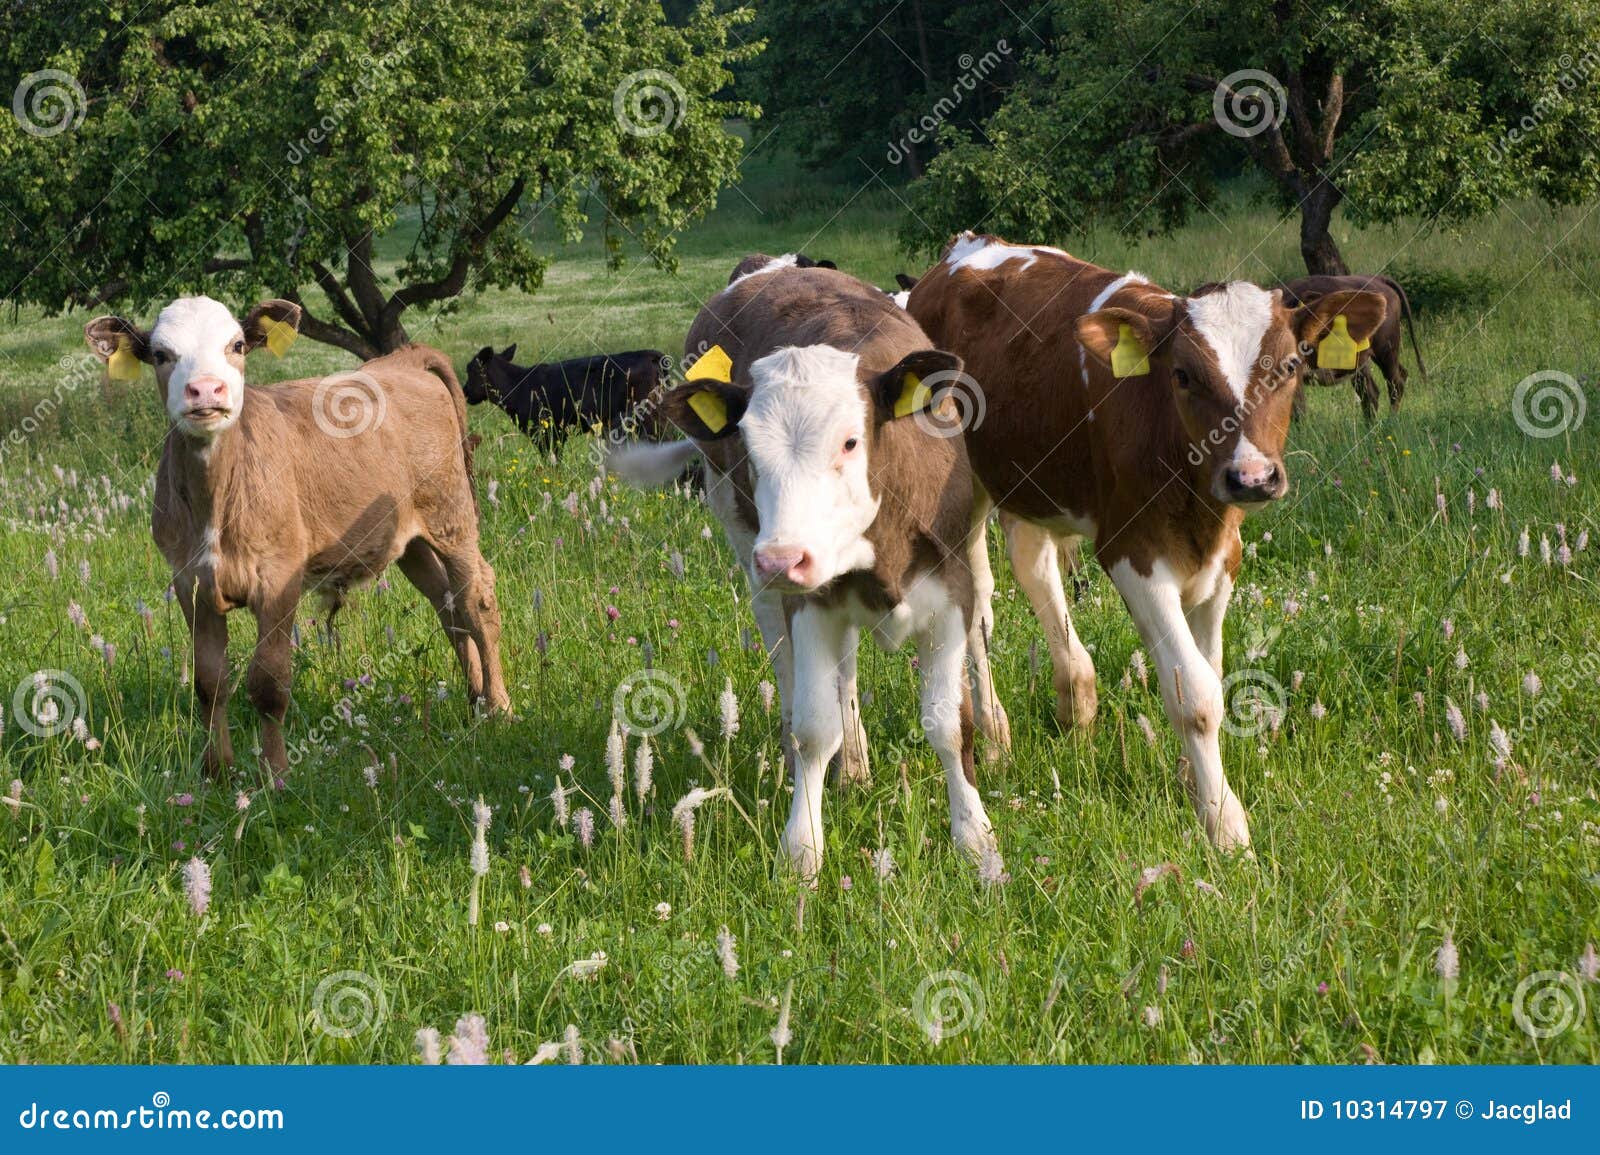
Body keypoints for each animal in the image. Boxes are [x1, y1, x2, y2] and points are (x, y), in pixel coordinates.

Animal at [84, 296, 510, 779]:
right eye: (160, 354)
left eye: (237, 345)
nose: (207, 390)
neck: (218, 496)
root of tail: (402, 361)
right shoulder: (189, 581)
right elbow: (210, 682)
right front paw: (217, 771)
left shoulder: (278, 577)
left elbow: (269, 682)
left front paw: (275, 773)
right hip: (410, 540)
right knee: (448, 605)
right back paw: (474, 701)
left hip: (451, 516)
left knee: (477, 600)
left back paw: (498, 706)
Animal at [609, 259, 1001, 879]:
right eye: (748, 452)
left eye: (850, 442)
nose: (781, 557)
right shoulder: (809, 601)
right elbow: (816, 728)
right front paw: (802, 850)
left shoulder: (950, 592)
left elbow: (946, 721)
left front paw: (975, 839)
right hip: (759, 567)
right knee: (802, 672)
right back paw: (840, 760)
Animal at [906, 232, 1387, 851]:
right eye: (1182, 375)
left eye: (1288, 365)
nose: (1252, 477)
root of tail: (967, 247)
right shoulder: (1133, 555)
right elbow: (1196, 696)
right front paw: (1224, 823)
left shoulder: (1223, 562)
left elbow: (1207, 669)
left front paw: (1192, 780)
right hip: (963, 490)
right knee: (977, 604)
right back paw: (994, 738)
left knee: (1034, 570)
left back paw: (1074, 703)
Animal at [1278, 274, 1425, 419]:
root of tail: (1378, 279)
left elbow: (1297, 410)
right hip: (1363, 362)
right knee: (1371, 392)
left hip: (1386, 351)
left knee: (1395, 382)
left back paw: (1391, 420)